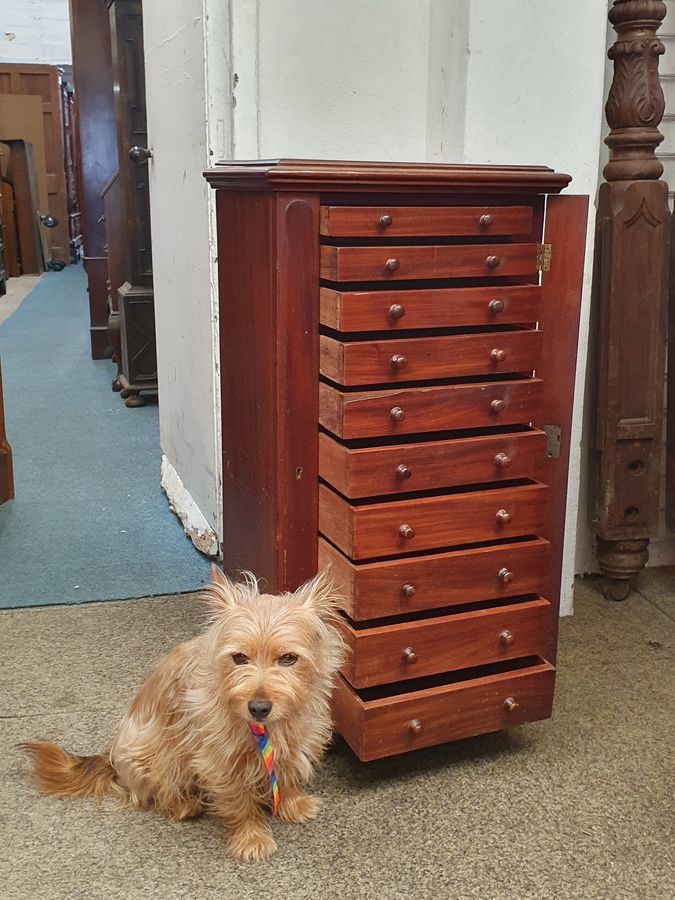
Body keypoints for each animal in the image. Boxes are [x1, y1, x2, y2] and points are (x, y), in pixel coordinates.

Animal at [23, 568, 346, 860]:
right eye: (239, 657)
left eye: (289, 658)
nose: (258, 707)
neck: (264, 729)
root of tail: (110, 758)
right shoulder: (219, 760)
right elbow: (238, 801)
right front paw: (250, 837)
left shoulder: (297, 736)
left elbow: (288, 772)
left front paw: (292, 803)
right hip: (154, 757)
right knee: (156, 791)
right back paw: (183, 804)